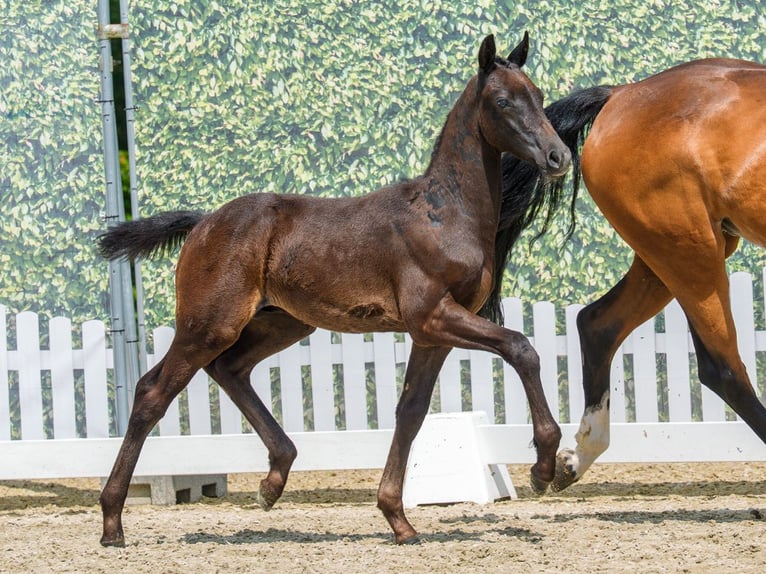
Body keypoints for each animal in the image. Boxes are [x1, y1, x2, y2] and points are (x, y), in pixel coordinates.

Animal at [97, 33, 571, 546]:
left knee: (230, 369)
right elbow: (521, 348)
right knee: (152, 392)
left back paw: (272, 481)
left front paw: (398, 519)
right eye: (502, 101)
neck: (444, 214)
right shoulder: (433, 316)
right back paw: (112, 521)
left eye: (539, 96)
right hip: (209, 323)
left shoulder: (432, 335)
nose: (558, 157)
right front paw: (546, 468)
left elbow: (411, 411)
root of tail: (204, 222)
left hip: (281, 323)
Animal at [493, 57, 766, 492]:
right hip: (687, 248)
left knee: (598, 324)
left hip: (670, 253)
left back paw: (574, 460)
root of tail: (621, 94)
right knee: (723, 368)